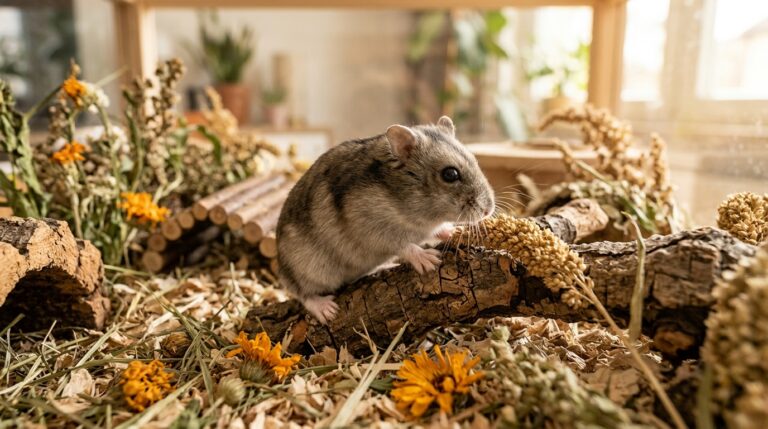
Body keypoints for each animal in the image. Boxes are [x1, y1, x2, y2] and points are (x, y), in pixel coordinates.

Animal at [276, 116, 495, 324]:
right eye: (450, 174)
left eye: (475, 160)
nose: (488, 210)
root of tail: (282, 270)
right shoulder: (373, 229)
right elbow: (404, 245)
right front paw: (430, 260)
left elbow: (438, 230)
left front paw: (455, 231)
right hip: (305, 270)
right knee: (303, 293)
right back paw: (326, 310)